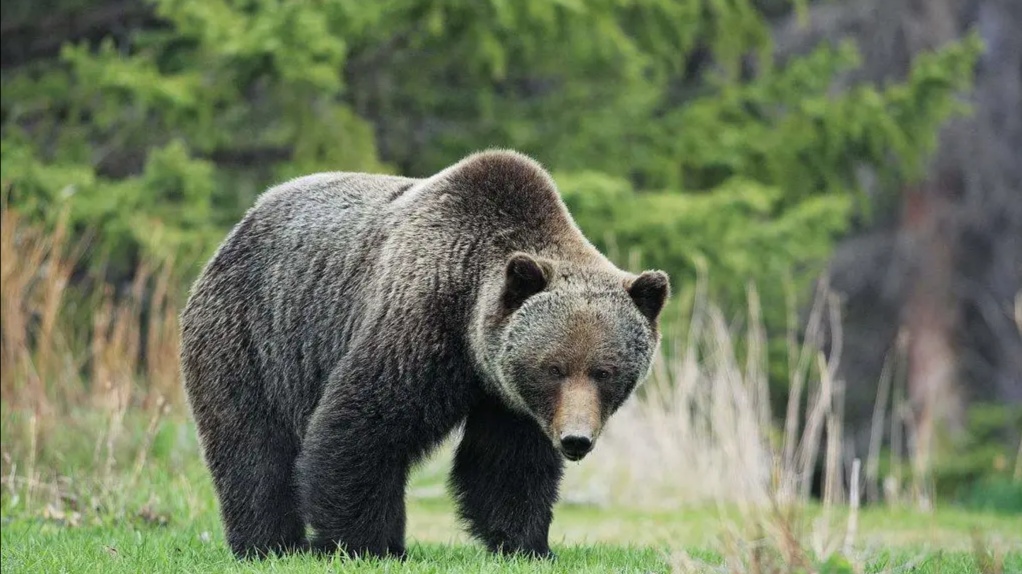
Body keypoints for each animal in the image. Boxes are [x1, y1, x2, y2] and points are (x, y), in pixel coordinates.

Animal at [177, 148, 670, 559]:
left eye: (605, 370)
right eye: (554, 367)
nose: (575, 440)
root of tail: (241, 224)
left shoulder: (509, 397)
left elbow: (506, 466)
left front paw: (527, 544)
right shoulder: (419, 328)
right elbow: (359, 429)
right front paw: (367, 545)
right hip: (251, 337)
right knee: (253, 449)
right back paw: (270, 544)